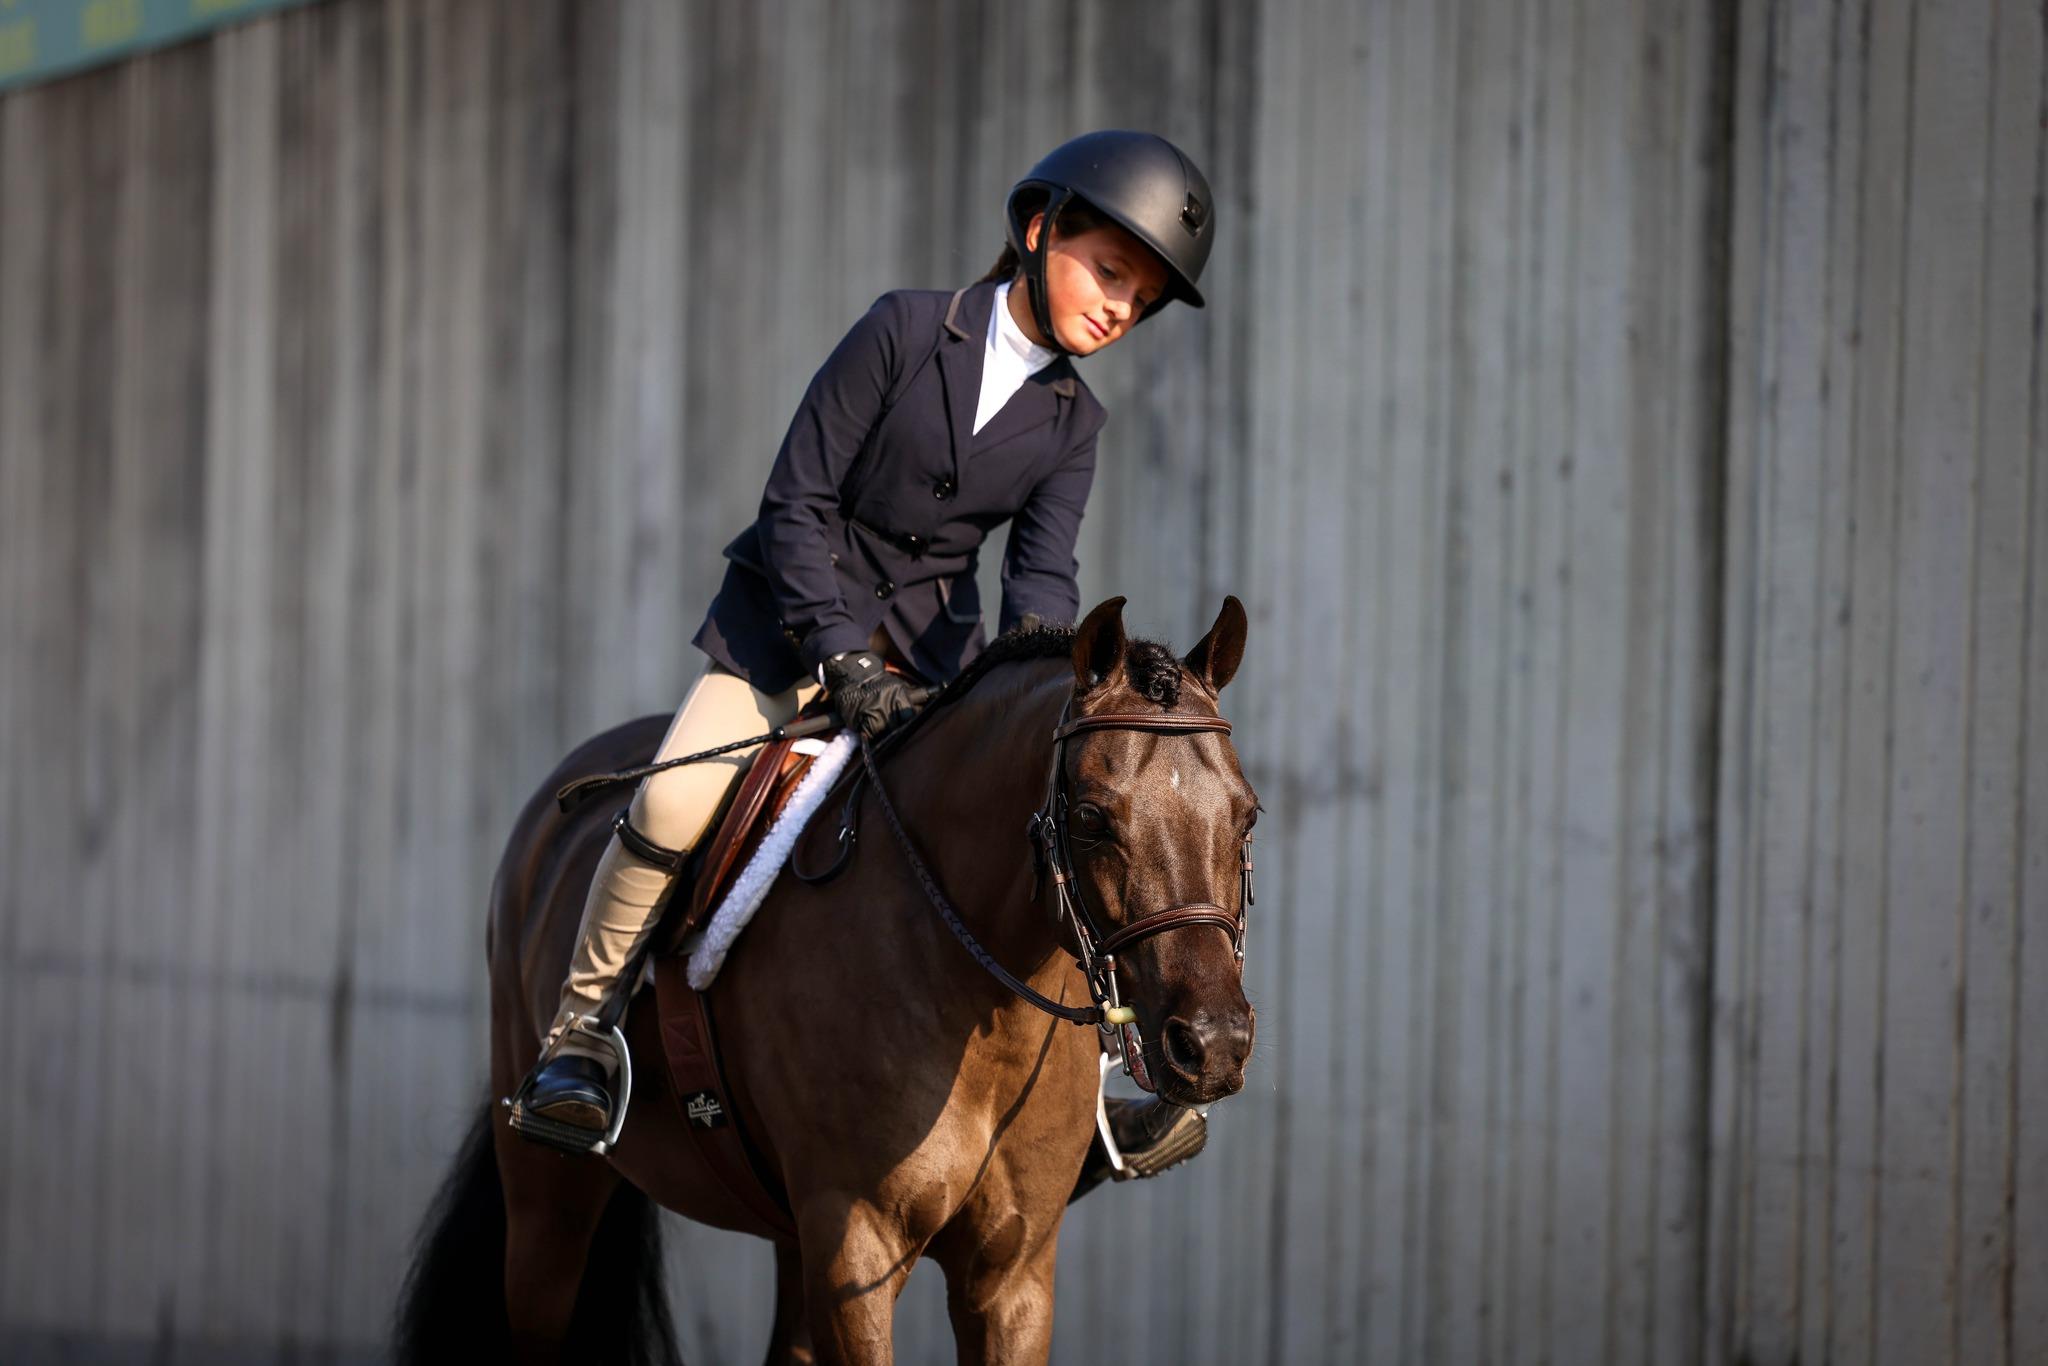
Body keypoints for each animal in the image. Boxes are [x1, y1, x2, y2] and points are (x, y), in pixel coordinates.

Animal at [394, 595, 1261, 1365]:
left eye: (1247, 815)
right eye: (1090, 818)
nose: (1212, 1045)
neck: (976, 1010)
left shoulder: (1011, 1279)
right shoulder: (855, 1250)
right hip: (549, 1202)